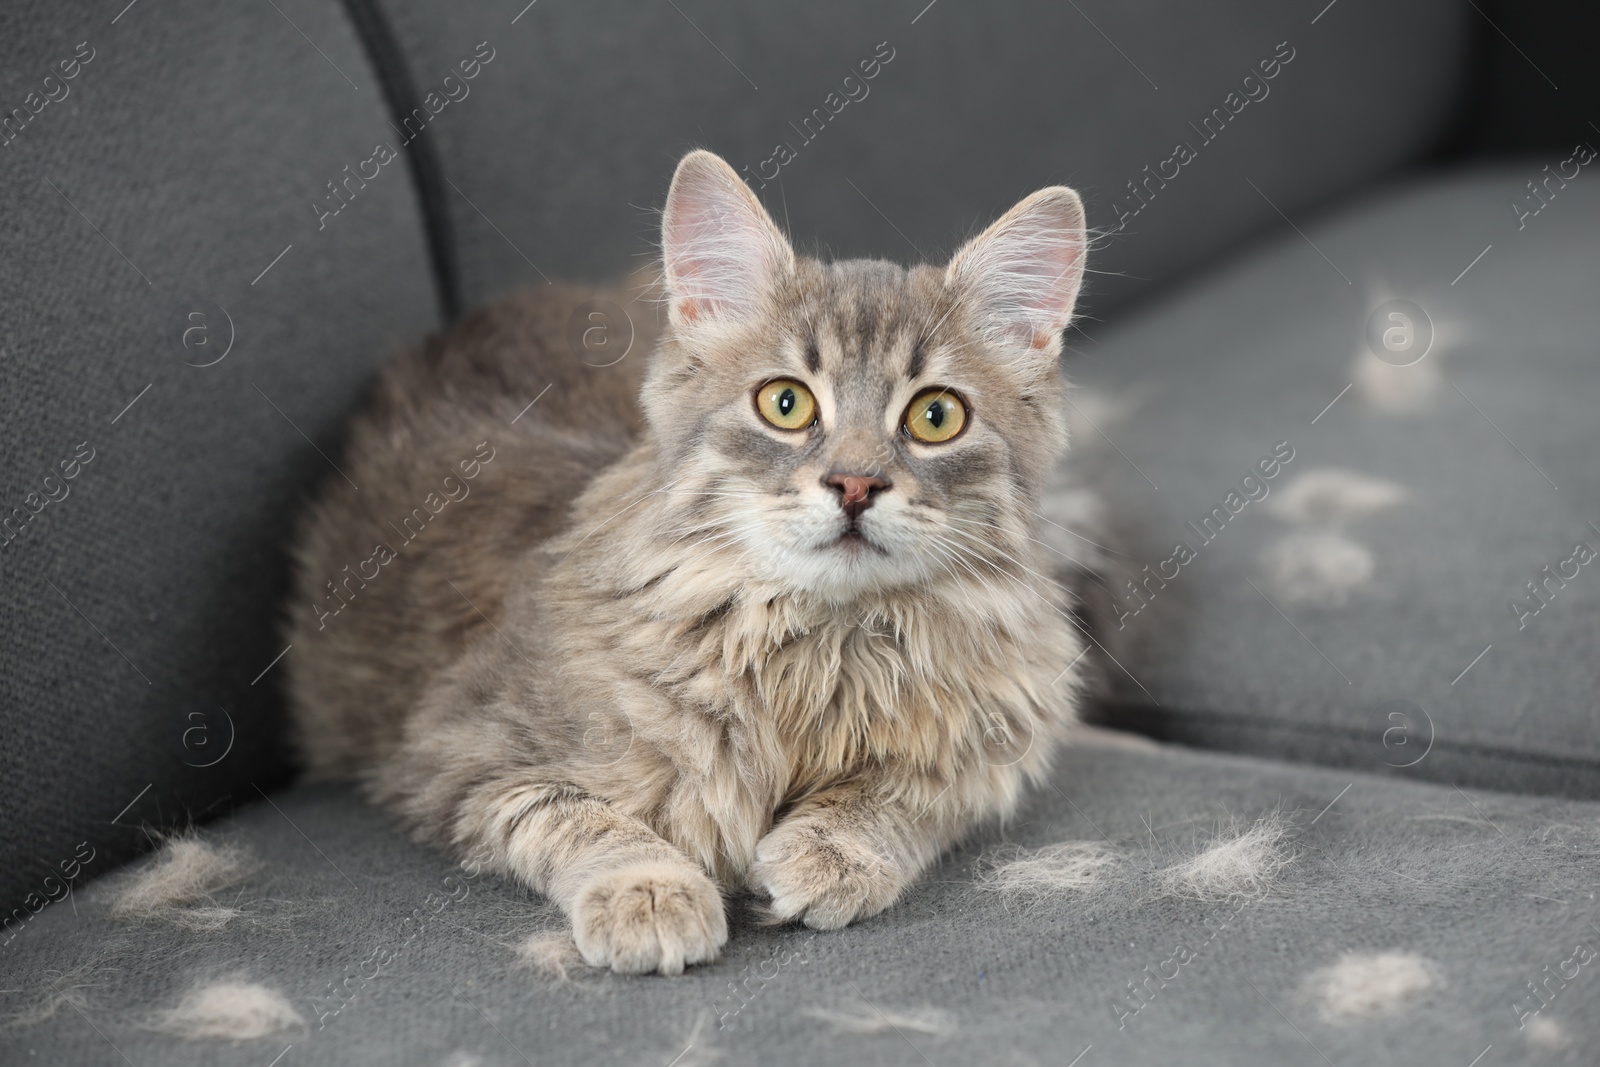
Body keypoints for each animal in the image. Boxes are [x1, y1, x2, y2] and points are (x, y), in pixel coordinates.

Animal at [281, 150, 1094, 979]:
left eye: (936, 416)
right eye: (786, 404)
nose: (855, 484)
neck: (820, 648)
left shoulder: (997, 738)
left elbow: (902, 794)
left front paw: (831, 850)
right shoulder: (457, 753)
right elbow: (587, 819)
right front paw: (649, 891)